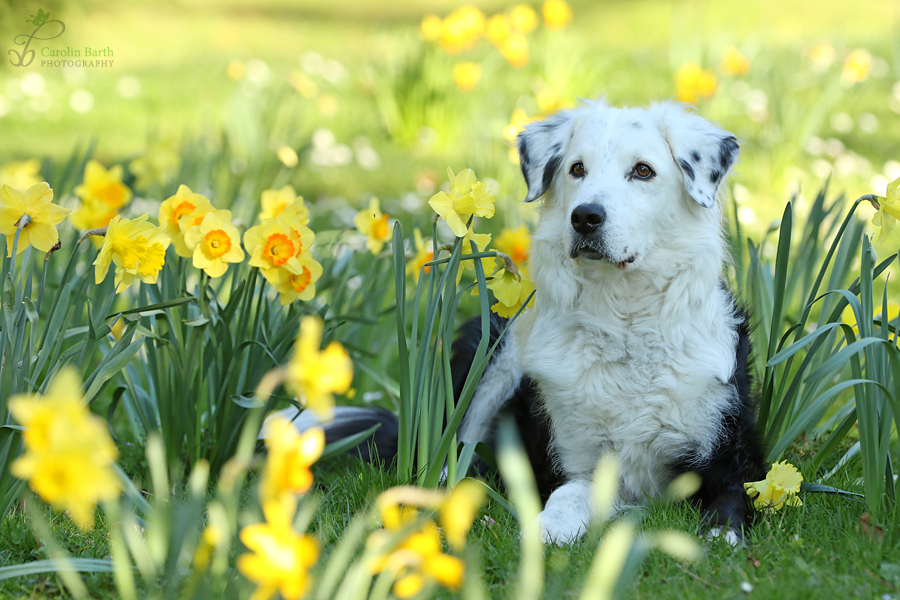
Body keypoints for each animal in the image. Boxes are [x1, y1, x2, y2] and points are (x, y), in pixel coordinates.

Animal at [270, 97, 764, 544]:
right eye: (577, 169)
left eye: (643, 171)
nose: (585, 217)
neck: (624, 329)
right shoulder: (576, 459)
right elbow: (566, 495)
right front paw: (548, 528)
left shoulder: (731, 452)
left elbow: (731, 496)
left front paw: (720, 532)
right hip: (494, 350)